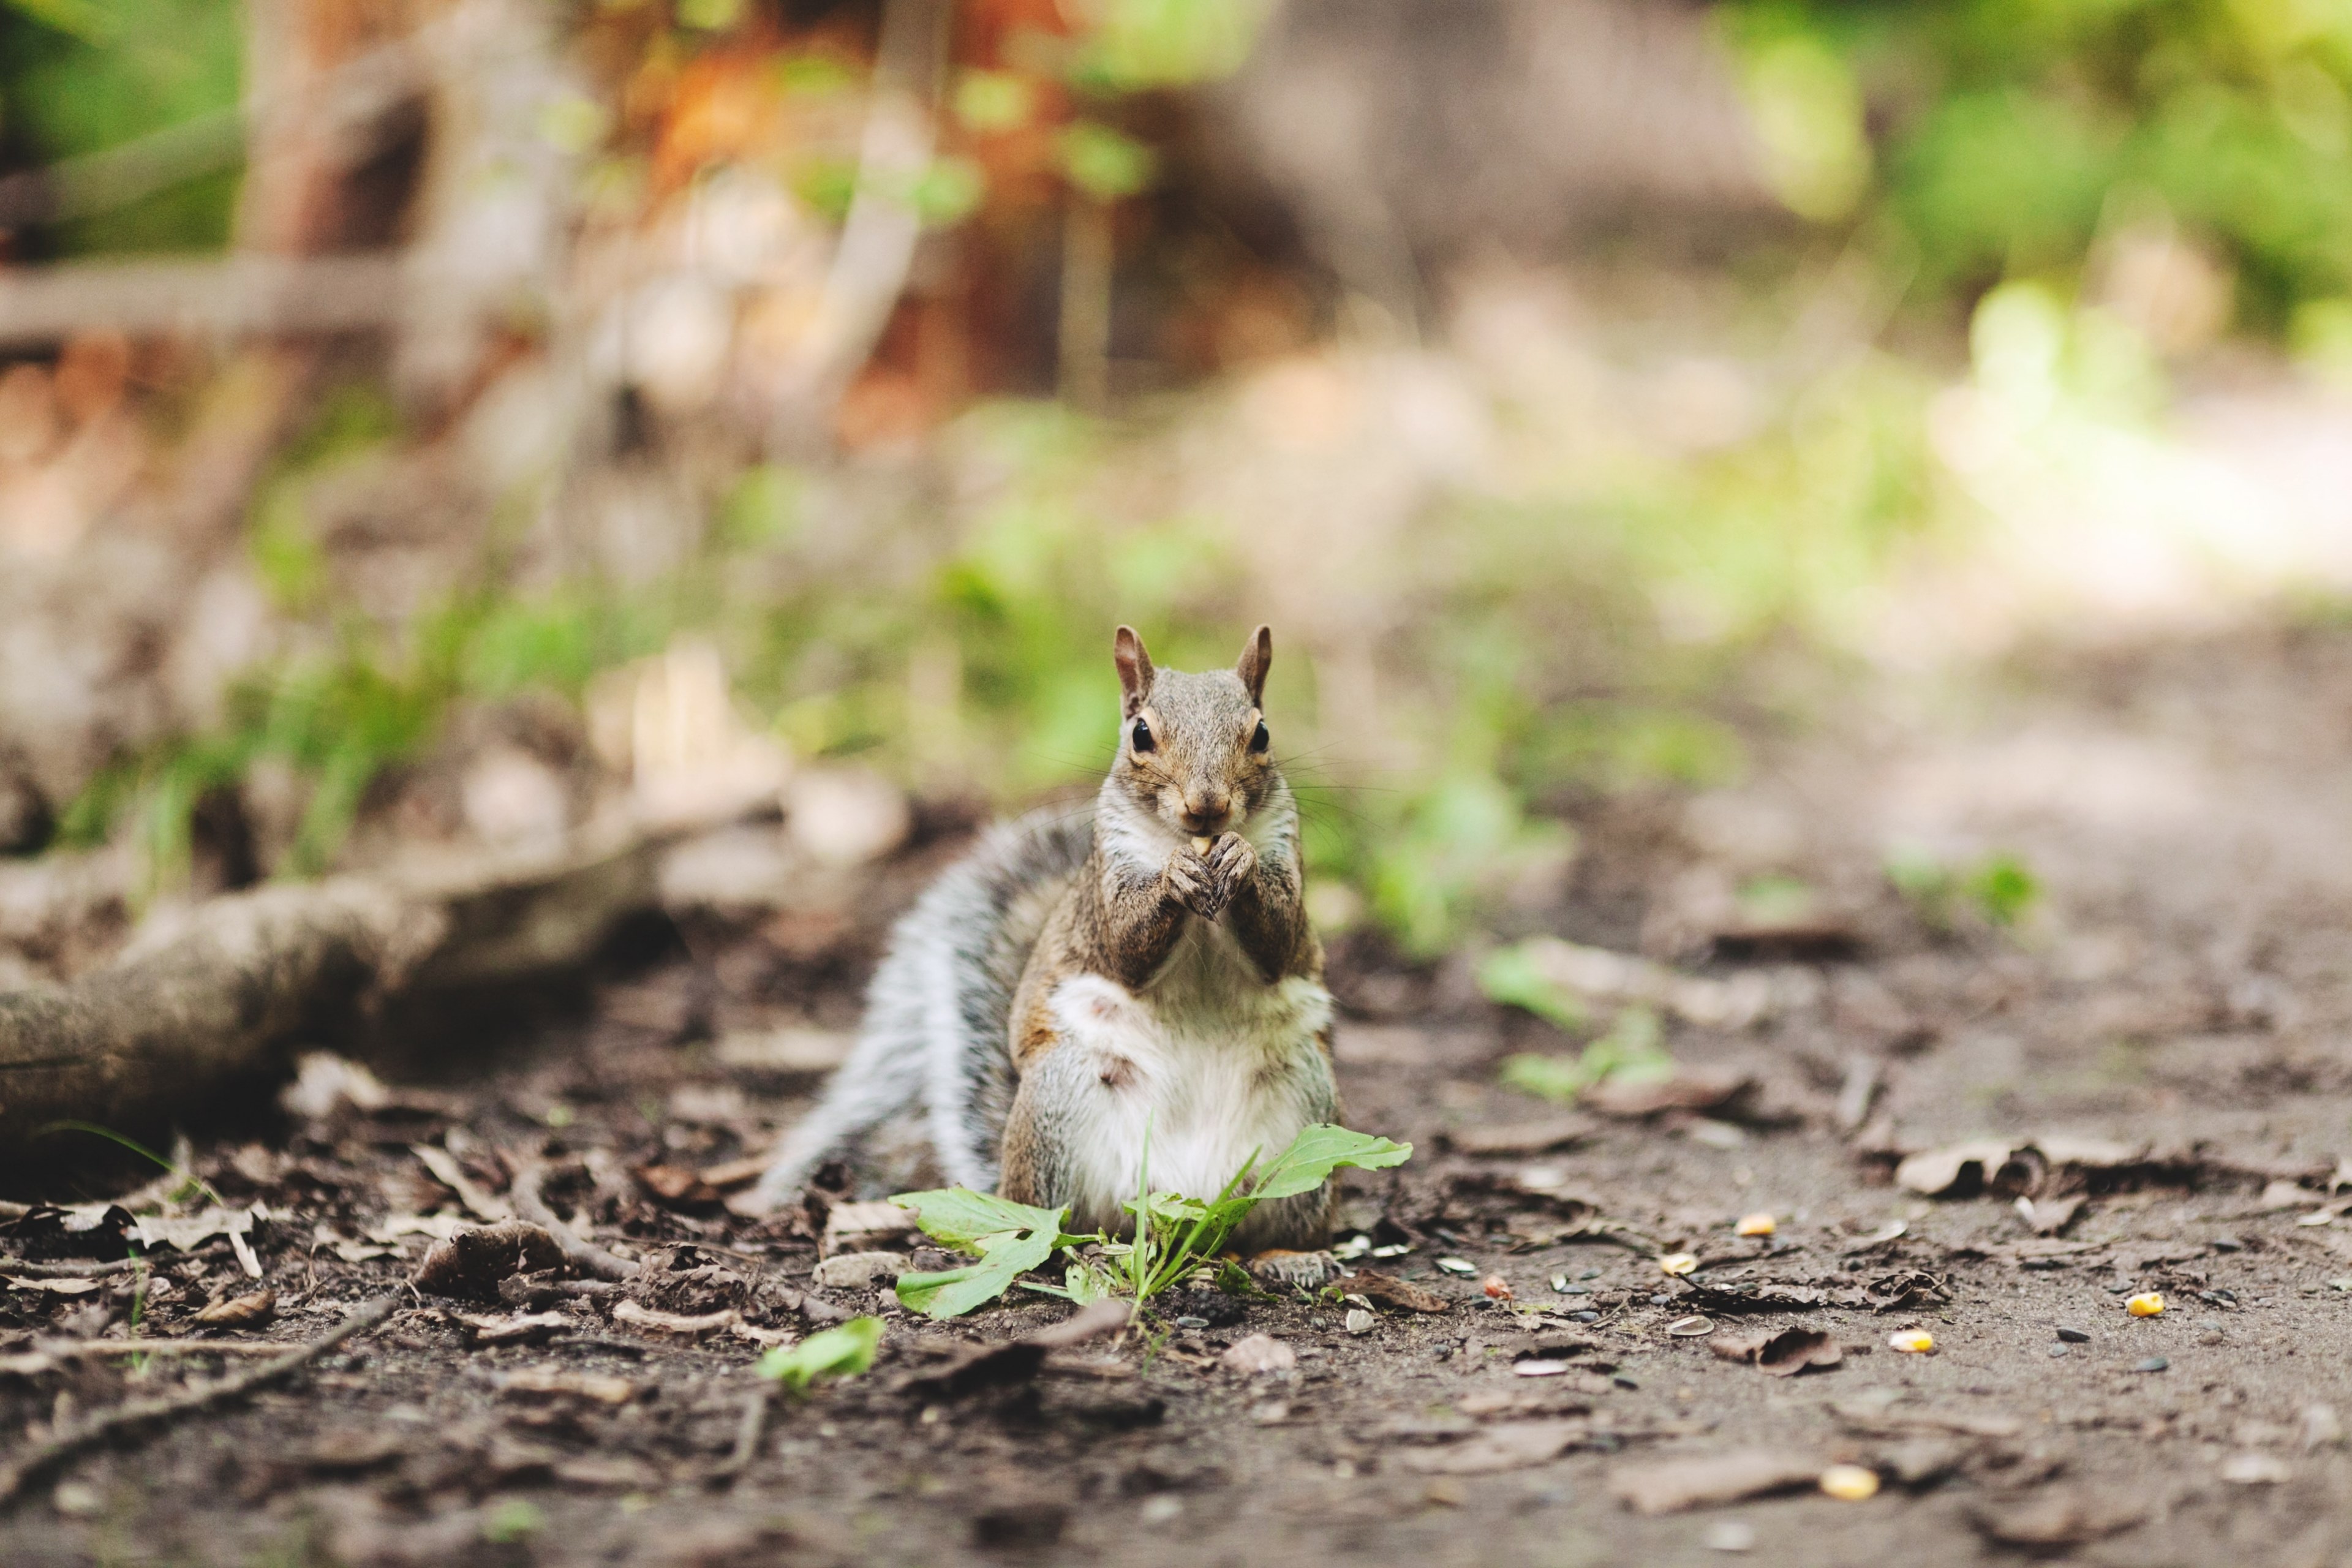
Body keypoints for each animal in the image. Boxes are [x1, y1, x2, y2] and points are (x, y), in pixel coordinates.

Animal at [738, 624, 1338, 1253]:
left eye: (1262, 732)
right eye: (1141, 734)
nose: (1207, 807)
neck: (1191, 845)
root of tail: (1183, 1205)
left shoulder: (1285, 856)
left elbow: (1281, 939)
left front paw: (1240, 860)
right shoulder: (1104, 885)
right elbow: (1124, 944)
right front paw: (1173, 877)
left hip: (1307, 1116)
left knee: (1278, 1223)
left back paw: (1287, 1252)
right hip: (1059, 1101)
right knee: (1061, 1218)